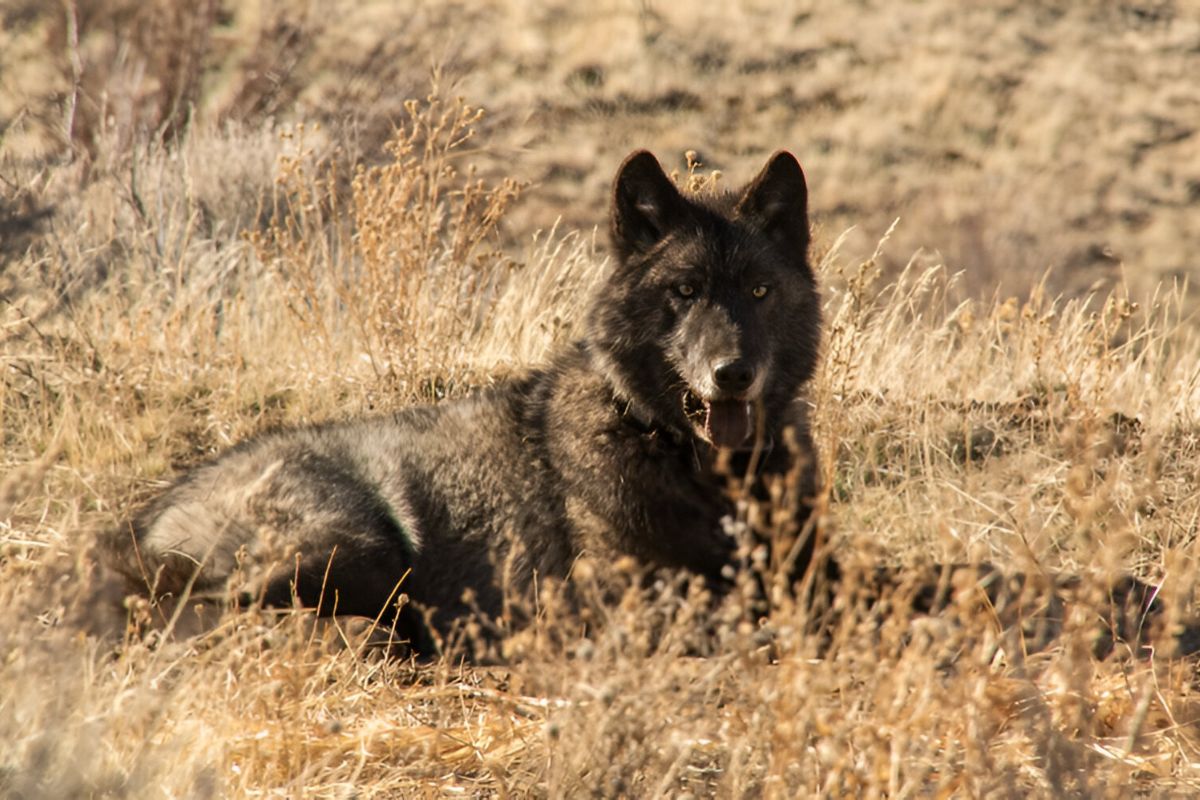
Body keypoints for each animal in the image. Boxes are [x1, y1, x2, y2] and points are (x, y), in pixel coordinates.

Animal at [115, 150, 823, 649]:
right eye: (684, 291)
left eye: (759, 291)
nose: (733, 373)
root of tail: (145, 518)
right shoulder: (627, 602)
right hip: (357, 543)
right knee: (209, 619)